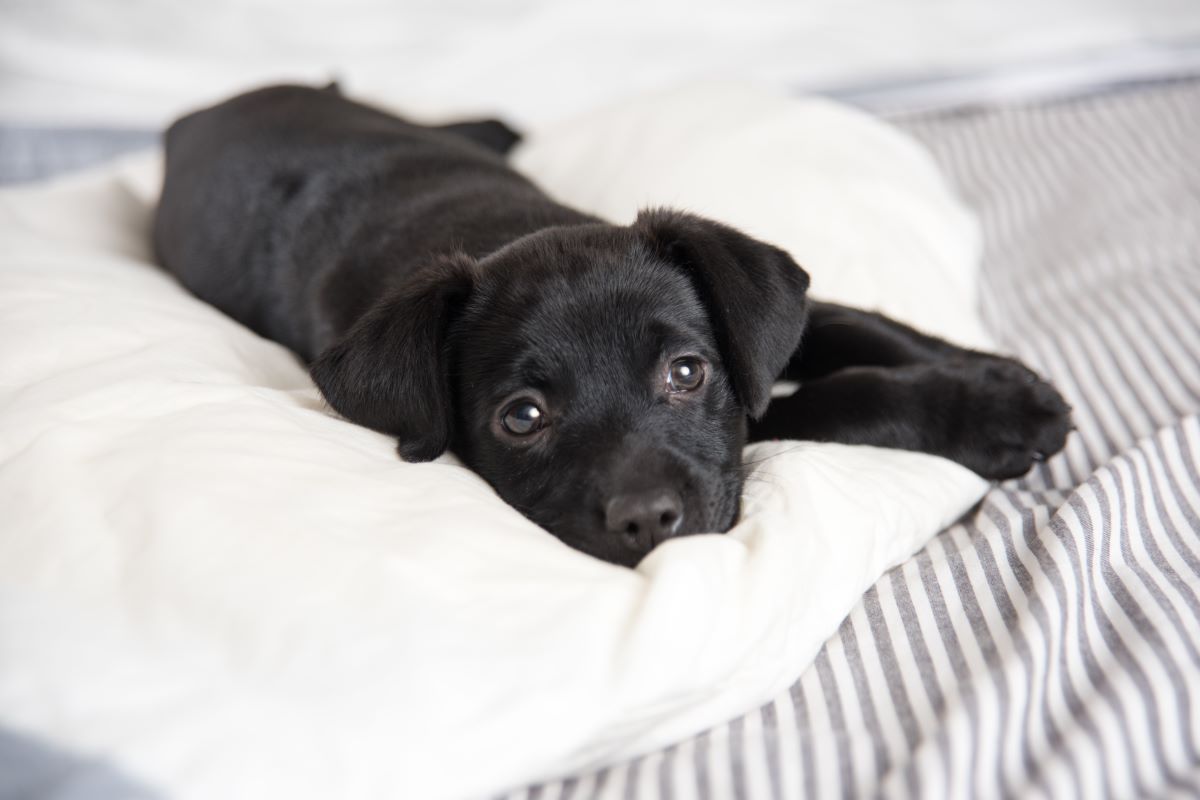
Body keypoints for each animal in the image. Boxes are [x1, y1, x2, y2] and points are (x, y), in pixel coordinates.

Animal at [154, 84, 1075, 566]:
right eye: (522, 417)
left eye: (686, 372)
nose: (647, 522)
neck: (503, 226)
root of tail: (195, 119)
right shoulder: (761, 415)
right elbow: (830, 399)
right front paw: (993, 414)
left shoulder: (767, 320)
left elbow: (865, 329)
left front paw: (999, 382)